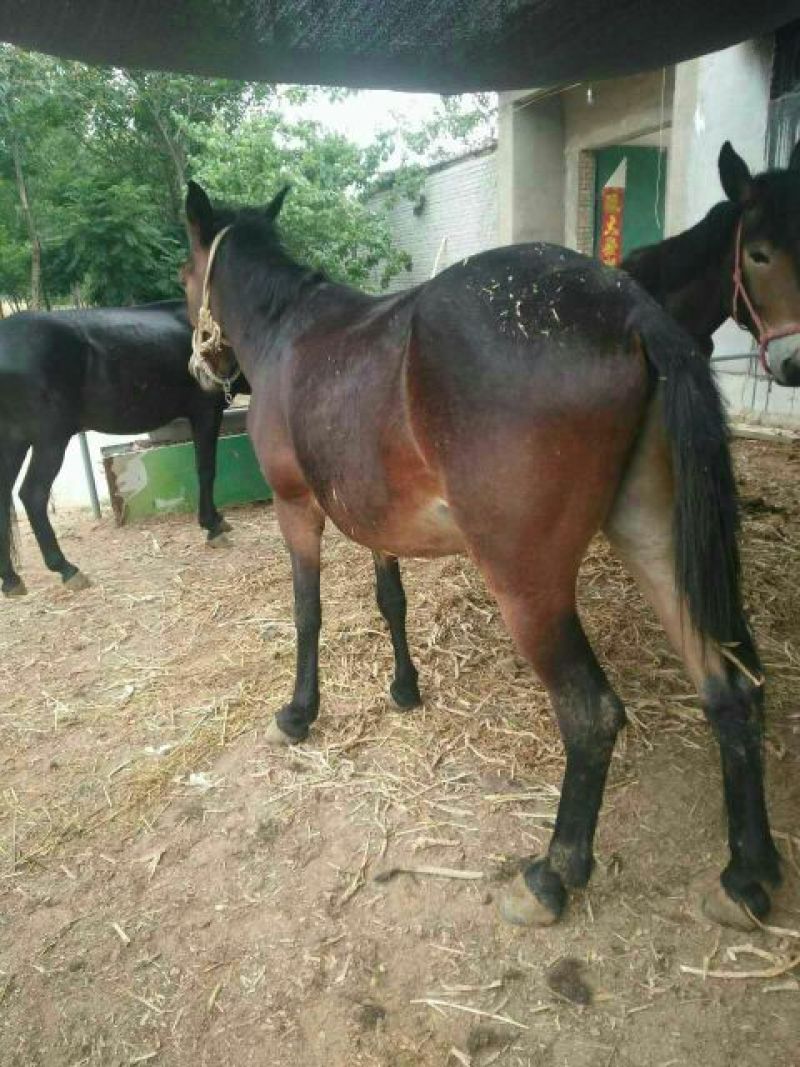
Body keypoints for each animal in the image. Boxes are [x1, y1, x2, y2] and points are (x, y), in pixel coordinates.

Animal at [0, 300, 245, 598]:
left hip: (13, 442)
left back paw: (10, 579)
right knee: (33, 495)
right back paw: (66, 569)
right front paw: (212, 526)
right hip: (49, 440)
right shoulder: (206, 411)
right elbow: (206, 469)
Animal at [180, 179, 784, 930]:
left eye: (185, 274)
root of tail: (631, 308)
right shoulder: (378, 523)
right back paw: (747, 873)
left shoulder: (298, 510)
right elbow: (391, 601)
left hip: (528, 584)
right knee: (730, 685)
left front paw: (298, 712)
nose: (204, 370)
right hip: (657, 538)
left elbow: (306, 613)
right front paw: (404, 688)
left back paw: (554, 874)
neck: (289, 330)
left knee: (592, 714)